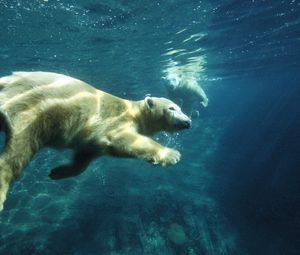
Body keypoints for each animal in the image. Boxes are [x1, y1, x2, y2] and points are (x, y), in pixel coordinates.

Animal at [0, 71, 192, 211]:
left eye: (181, 108)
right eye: (172, 108)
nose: (188, 122)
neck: (134, 111)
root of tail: (7, 81)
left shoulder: (91, 143)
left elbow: (83, 158)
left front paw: (57, 172)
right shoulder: (116, 121)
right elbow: (124, 140)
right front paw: (172, 154)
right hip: (32, 107)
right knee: (19, 149)